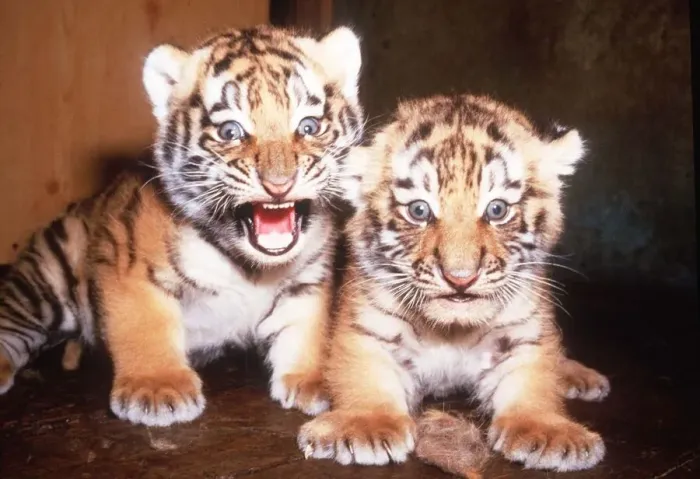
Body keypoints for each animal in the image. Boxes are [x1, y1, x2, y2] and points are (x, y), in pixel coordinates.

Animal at [0, 24, 364, 427]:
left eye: (309, 126)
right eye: (231, 132)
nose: (279, 184)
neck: (252, 266)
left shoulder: (307, 279)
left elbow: (306, 327)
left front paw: (314, 380)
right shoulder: (127, 261)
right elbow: (144, 324)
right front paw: (157, 389)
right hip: (46, 279)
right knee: (11, 324)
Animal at [297, 93, 610, 472]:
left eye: (497, 210)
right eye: (419, 211)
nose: (460, 277)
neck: (451, 329)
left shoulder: (524, 332)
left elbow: (534, 378)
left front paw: (548, 432)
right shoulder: (368, 328)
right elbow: (363, 373)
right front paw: (364, 425)